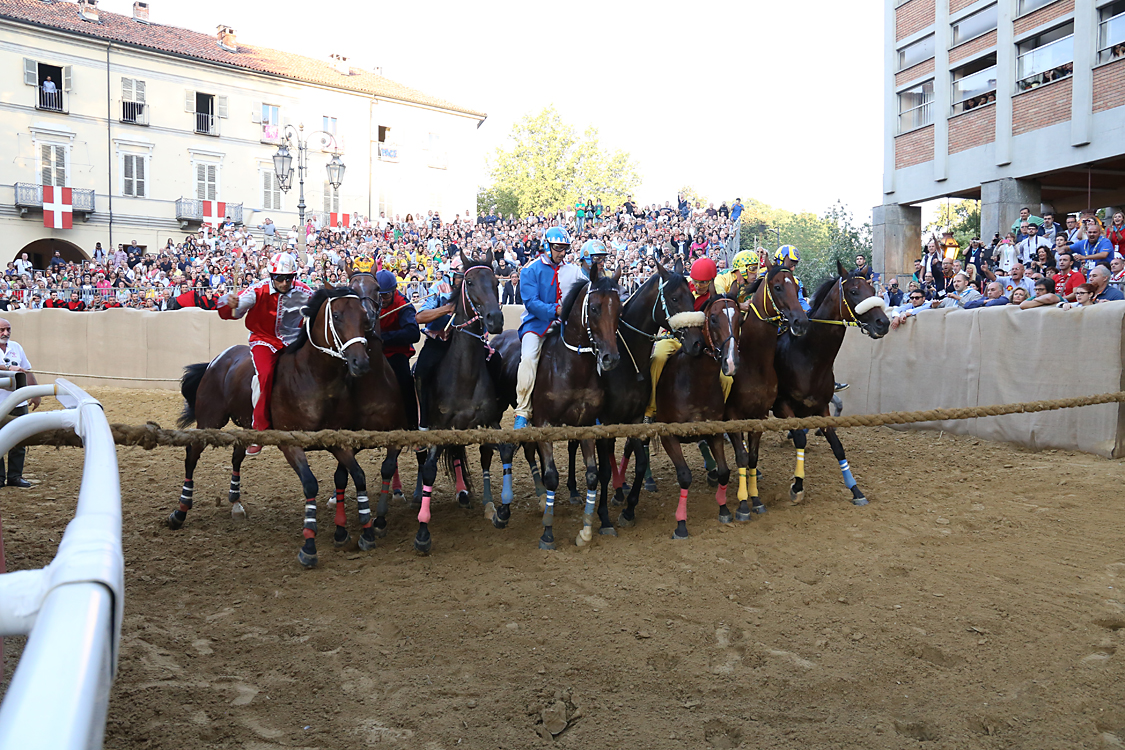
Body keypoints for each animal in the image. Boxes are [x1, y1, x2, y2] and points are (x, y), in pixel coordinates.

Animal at [411, 255, 508, 555]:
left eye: (496, 282)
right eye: (470, 282)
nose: (495, 319)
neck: (465, 375)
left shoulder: (489, 421)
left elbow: (504, 450)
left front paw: (501, 511)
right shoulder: (438, 427)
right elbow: (429, 470)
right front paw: (423, 530)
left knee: (455, 454)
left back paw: (463, 492)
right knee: (422, 457)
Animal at [499, 266, 630, 548]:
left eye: (619, 311)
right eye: (594, 308)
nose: (610, 358)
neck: (571, 367)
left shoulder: (586, 424)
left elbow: (592, 474)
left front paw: (587, 530)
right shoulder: (544, 423)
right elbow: (552, 475)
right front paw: (548, 533)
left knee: (528, 451)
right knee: (510, 448)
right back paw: (505, 509)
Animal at [657, 294, 742, 539]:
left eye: (741, 319)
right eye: (712, 319)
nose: (731, 362)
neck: (694, 383)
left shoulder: (714, 430)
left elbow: (724, 471)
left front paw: (724, 509)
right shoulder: (668, 435)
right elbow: (685, 476)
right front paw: (681, 523)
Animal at [724, 260, 814, 519]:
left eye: (797, 287)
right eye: (777, 287)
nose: (801, 322)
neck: (753, 364)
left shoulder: (760, 414)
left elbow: (752, 457)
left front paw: (755, 499)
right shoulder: (732, 415)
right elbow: (742, 456)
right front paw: (743, 503)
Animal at [774, 260, 886, 508]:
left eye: (872, 290)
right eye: (853, 292)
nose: (883, 322)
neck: (807, 356)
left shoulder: (821, 407)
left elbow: (837, 446)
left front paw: (856, 490)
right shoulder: (782, 406)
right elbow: (800, 438)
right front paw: (797, 486)